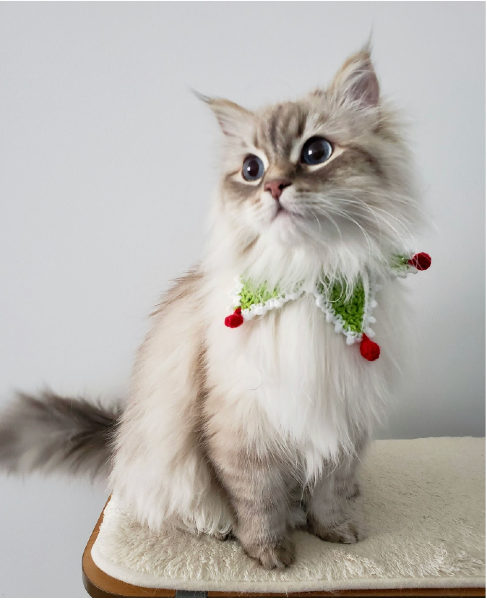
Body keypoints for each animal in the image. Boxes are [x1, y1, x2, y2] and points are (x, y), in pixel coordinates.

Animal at [0, 45, 424, 568]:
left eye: (315, 153)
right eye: (251, 169)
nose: (274, 187)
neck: (305, 278)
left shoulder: (343, 421)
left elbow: (330, 492)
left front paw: (334, 532)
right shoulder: (242, 429)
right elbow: (258, 501)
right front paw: (269, 555)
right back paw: (222, 529)